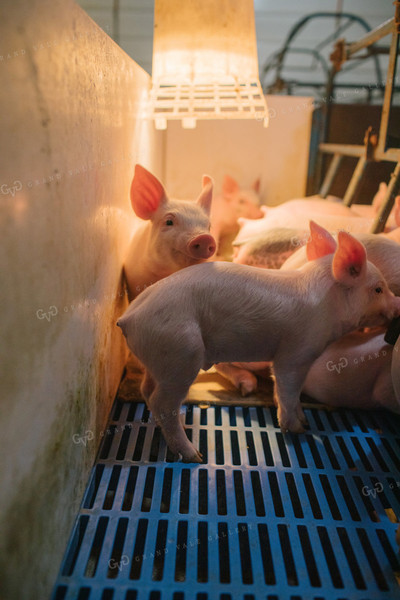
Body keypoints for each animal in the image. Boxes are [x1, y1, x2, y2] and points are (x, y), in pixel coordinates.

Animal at [117, 223, 400, 462]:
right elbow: (287, 387)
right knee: (161, 401)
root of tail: (129, 317)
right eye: (378, 289)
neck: (327, 307)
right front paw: (297, 429)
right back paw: (194, 455)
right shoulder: (296, 352)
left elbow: (291, 391)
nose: (398, 304)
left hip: (159, 359)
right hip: (181, 352)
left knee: (147, 391)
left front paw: (304, 421)